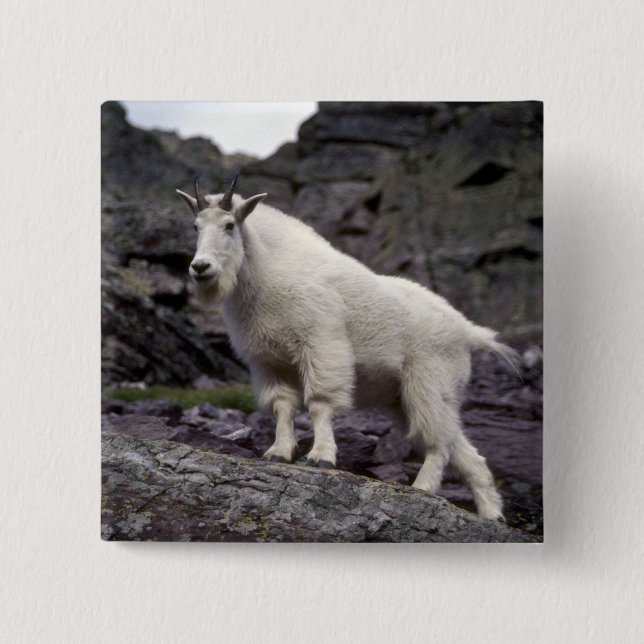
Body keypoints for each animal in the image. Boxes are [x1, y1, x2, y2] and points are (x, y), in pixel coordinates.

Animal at [176, 173, 519, 520]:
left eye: (230, 225)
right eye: (195, 226)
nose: (201, 268)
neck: (264, 270)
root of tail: (468, 331)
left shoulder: (320, 343)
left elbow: (319, 403)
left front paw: (321, 457)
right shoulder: (269, 362)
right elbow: (282, 406)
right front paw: (278, 452)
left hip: (429, 381)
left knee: (438, 440)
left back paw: (422, 488)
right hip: (410, 396)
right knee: (464, 449)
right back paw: (492, 515)